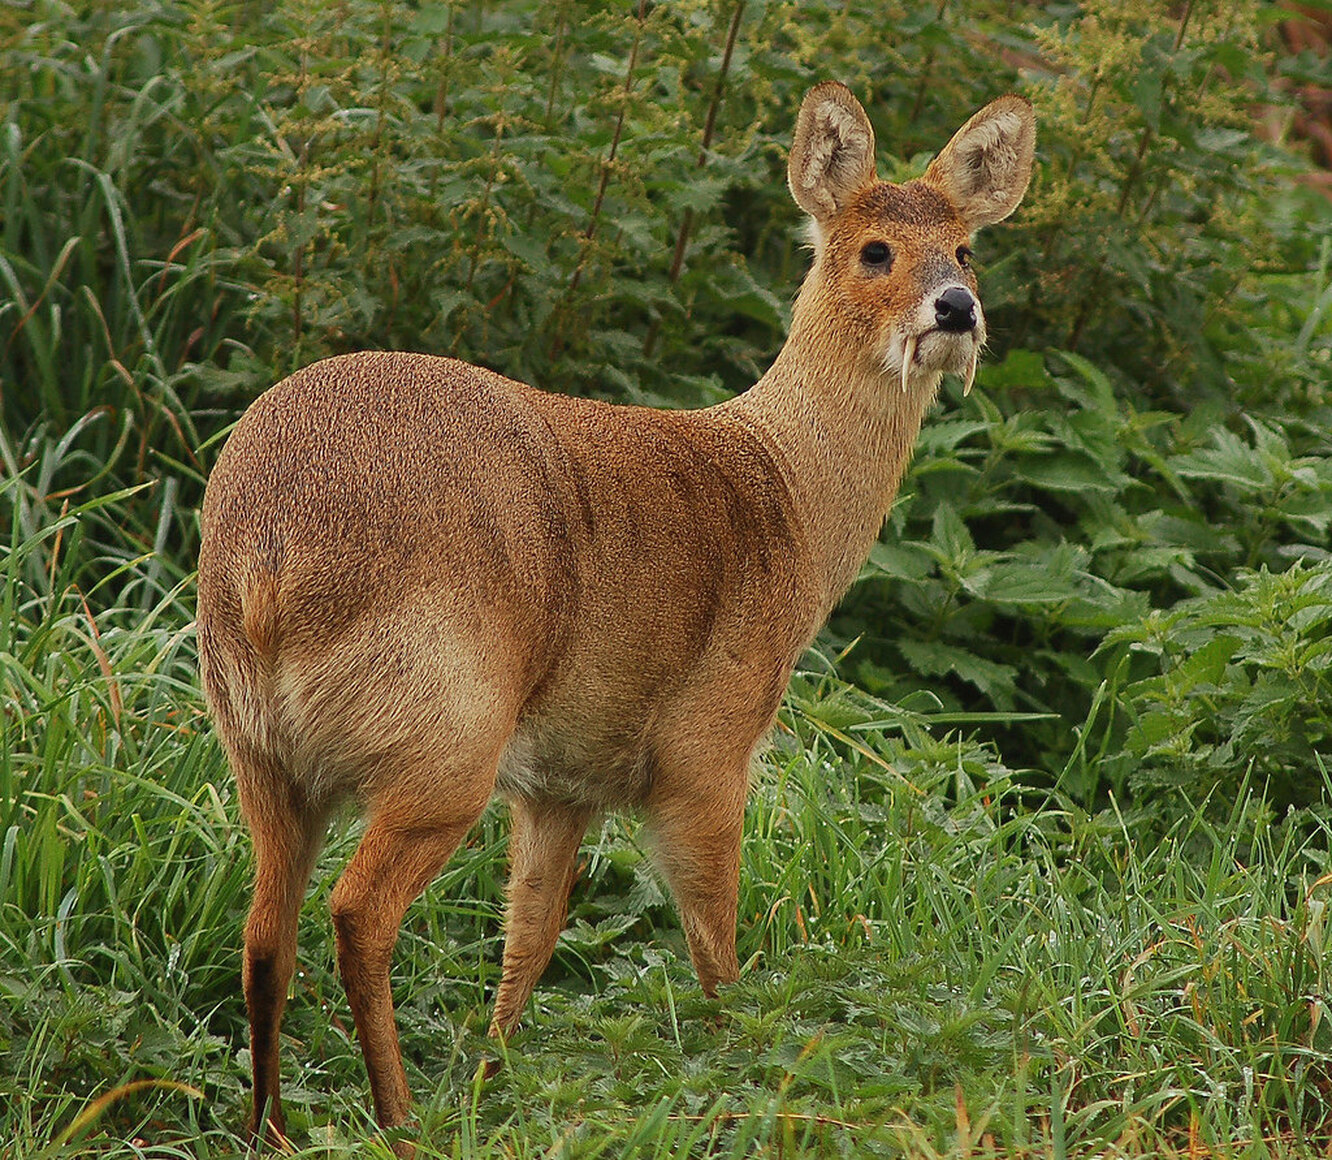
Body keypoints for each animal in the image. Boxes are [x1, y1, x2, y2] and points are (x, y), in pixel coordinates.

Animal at [197, 83, 1033, 1150]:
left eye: (967, 247)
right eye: (874, 248)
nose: (956, 308)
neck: (783, 498)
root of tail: (264, 562)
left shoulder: (563, 780)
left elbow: (530, 936)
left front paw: (497, 1079)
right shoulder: (706, 750)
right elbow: (716, 948)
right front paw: (740, 1077)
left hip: (261, 752)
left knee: (265, 933)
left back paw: (272, 1126)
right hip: (442, 740)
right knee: (358, 913)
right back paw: (401, 1117)